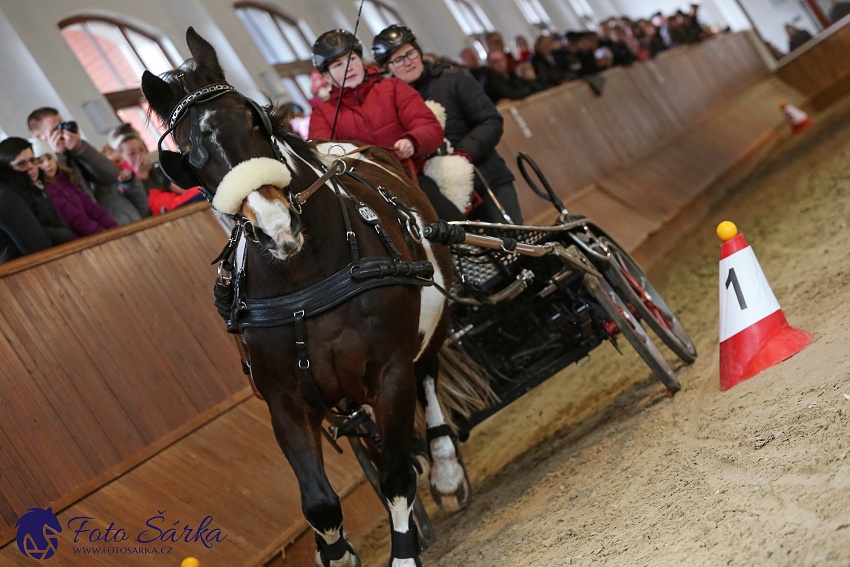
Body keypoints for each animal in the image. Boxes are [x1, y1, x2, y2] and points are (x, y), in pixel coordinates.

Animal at [140, 27, 470, 567]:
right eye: (190, 154)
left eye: (253, 116)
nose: (278, 228)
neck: (305, 283)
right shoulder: (285, 400)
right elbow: (319, 503)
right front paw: (337, 552)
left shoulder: (390, 370)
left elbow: (397, 474)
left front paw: (404, 550)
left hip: (430, 327)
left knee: (429, 377)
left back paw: (444, 470)